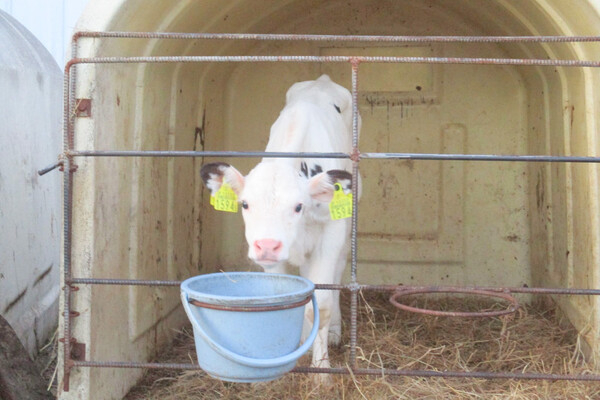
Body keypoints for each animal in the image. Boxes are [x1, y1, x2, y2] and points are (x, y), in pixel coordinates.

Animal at [200, 75, 360, 379]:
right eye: (245, 204)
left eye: (298, 206)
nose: (267, 246)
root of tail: (322, 80)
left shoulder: (329, 237)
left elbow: (322, 303)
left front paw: (321, 372)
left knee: (335, 275)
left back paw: (333, 332)